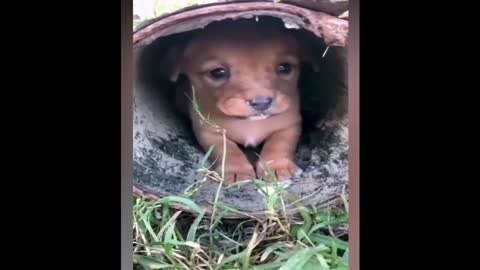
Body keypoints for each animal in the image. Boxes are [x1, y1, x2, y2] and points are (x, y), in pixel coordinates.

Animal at [168, 19, 312, 184]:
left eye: (285, 67)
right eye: (217, 72)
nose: (262, 103)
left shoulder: (289, 125)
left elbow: (278, 144)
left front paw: (277, 166)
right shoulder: (210, 131)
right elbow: (227, 151)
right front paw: (236, 171)